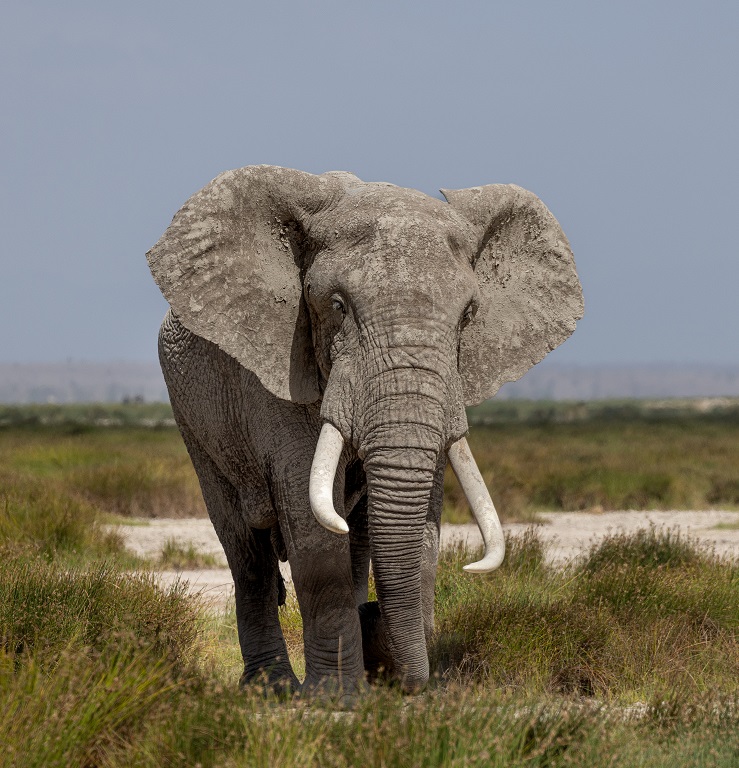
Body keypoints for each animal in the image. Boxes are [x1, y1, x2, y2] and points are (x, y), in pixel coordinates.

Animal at [146, 165, 583, 697]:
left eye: (468, 315)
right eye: (337, 306)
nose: (408, 679)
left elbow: (422, 520)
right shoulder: (280, 370)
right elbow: (312, 522)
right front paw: (335, 698)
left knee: (353, 538)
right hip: (191, 415)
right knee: (245, 551)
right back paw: (271, 688)